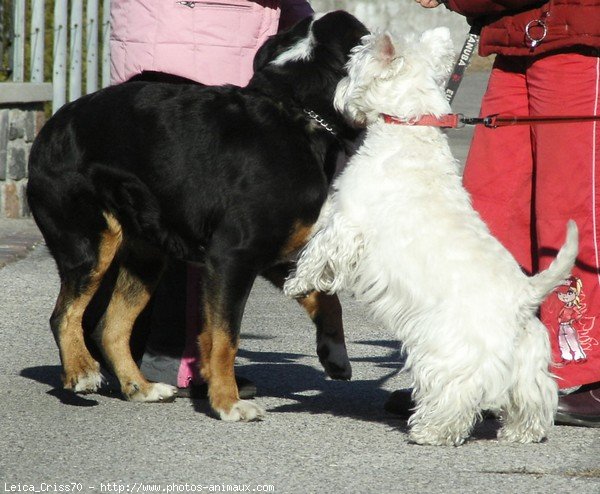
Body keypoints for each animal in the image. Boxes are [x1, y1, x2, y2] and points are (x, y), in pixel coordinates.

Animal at [27, 11, 370, 420]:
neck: (295, 113)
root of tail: (46, 133)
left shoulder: (274, 254)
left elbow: (327, 299)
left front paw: (335, 356)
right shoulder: (232, 256)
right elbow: (224, 338)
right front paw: (227, 402)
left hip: (145, 256)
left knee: (110, 328)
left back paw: (141, 388)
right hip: (91, 241)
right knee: (65, 315)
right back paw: (81, 371)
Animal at [284, 30, 580, 448]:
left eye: (353, 66)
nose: (338, 94)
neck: (409, 125)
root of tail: (524, 296)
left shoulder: (347, 221)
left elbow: (318, 251)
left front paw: (297, 282)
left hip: (448, 350)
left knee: (454, 394)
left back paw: (429, 431)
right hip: (528, 357)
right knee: (532, 397)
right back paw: (520, 433)